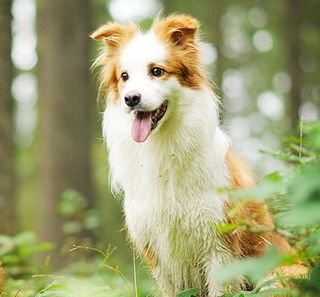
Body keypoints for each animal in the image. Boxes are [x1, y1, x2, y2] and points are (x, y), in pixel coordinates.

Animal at [91, 15, 302, 296]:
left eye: (156, 71)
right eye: (124, 76)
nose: (131, 98)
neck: (163, 147)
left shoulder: (219, 245)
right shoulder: (158, 251)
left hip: (277, 276)